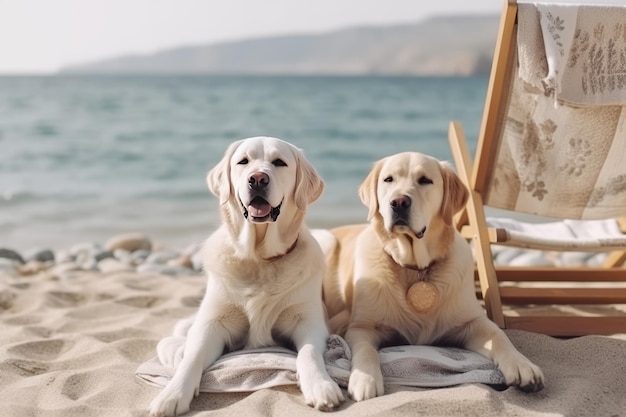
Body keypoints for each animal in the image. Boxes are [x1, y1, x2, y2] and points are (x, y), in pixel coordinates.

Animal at [149, 136, 344, 412]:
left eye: (279, 163)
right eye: (243, 162)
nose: (258, 179)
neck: (259, 259)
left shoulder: (308, 321)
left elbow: (308, 352)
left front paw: (320, 385)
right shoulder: (213, 323)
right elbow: (192, 356)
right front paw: (172, 394)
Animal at [316, 152, 540, 400]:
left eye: (425, 180)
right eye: (388, 179)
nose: (399, 202)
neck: (415, 268)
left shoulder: (473, 322)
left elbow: (499, 335)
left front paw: (521, 365)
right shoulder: (361, 327)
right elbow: (367, 351)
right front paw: (366, 379)